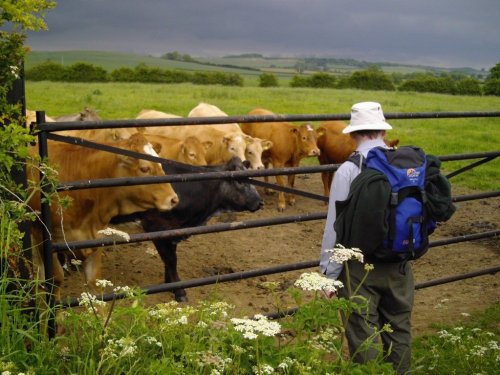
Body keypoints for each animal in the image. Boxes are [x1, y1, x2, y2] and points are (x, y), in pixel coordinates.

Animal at [28, 134, 179, 302]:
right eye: (144, 168)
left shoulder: (94, 238)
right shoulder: (43, 236)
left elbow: (95, 286)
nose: (173, 199)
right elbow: (56, 281)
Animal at [112, 158, 264, 302]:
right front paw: (179, 291)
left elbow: (170, 259)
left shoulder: (173, 231)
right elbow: (171, 260)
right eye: (239, 180)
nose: (260, 203)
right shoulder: (156, 226)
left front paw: (170, 284)